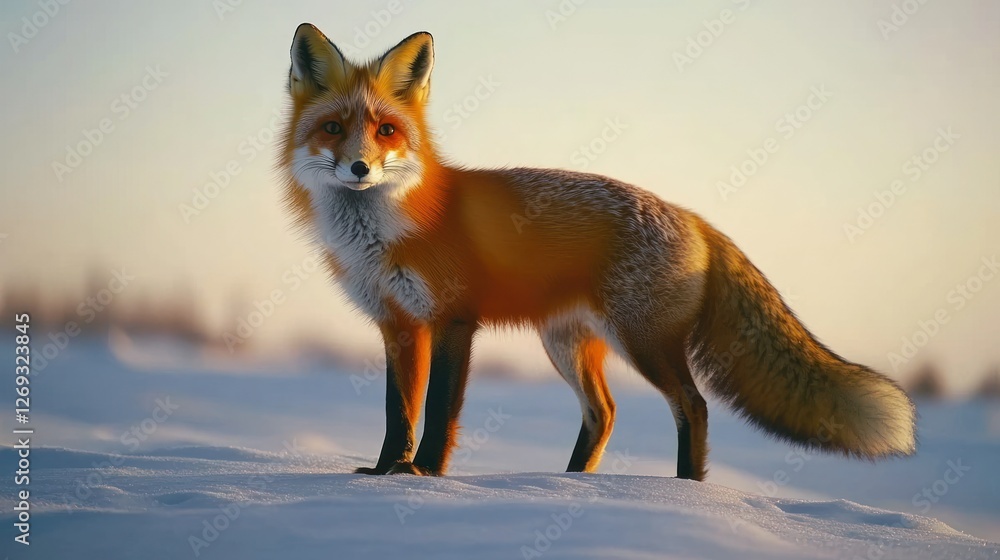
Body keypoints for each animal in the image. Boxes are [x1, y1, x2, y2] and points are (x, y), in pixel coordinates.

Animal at [279, 24, 917, 480]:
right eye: (334, 129)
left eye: (386, 131)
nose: (360, 168)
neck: (389, 228)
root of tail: (694, 218)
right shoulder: (399, 325)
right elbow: (398, 414)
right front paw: (383, 473)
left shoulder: (454, 319)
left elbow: (437, 412)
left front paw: (425, 476)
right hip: (567, 343)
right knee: (604, 413)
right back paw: (571, 484)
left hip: (643, 341)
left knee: (693, 406)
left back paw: (685, 492)